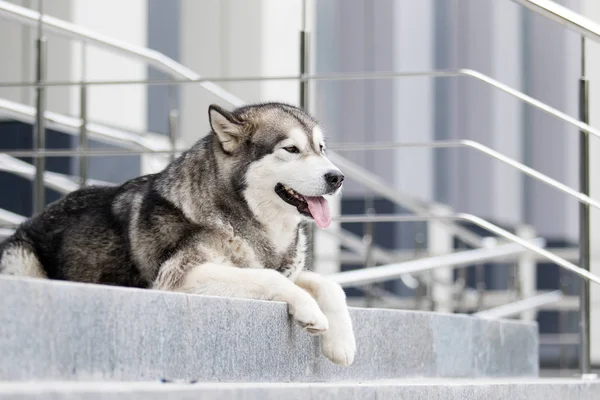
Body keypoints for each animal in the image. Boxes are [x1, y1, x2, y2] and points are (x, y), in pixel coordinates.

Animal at [0, 102, 356, 366]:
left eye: (321, 148)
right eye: (291, 149)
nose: (337, 177)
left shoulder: (283, 267)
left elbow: (328, 283)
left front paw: (342, 342)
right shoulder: (178, 278)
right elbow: (269, 278)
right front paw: (309, 309)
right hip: (21, 259)